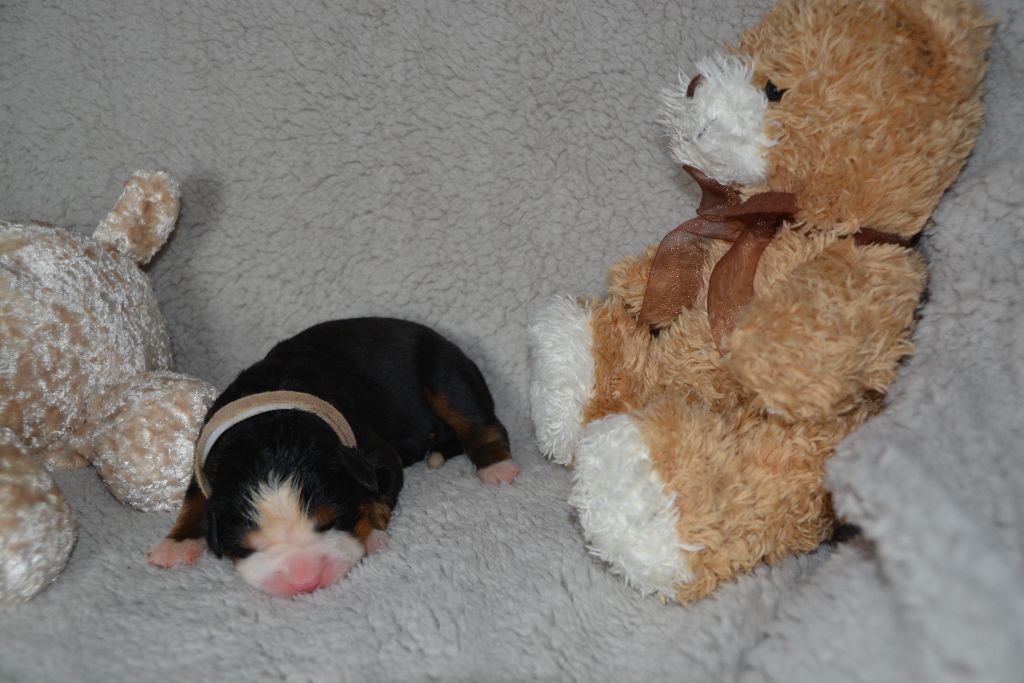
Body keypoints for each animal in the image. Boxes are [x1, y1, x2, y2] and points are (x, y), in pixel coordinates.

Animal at [148, 317, 519, 596]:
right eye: (246, 546)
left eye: (333, 521)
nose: (305, 580)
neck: (271, 429)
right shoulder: (205, 458)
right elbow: (194, 499)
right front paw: (176, 544)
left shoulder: (375, 453)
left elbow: (376, 496)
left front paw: (371, 534)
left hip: (442, 369)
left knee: (480, 421)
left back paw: (497, 467)